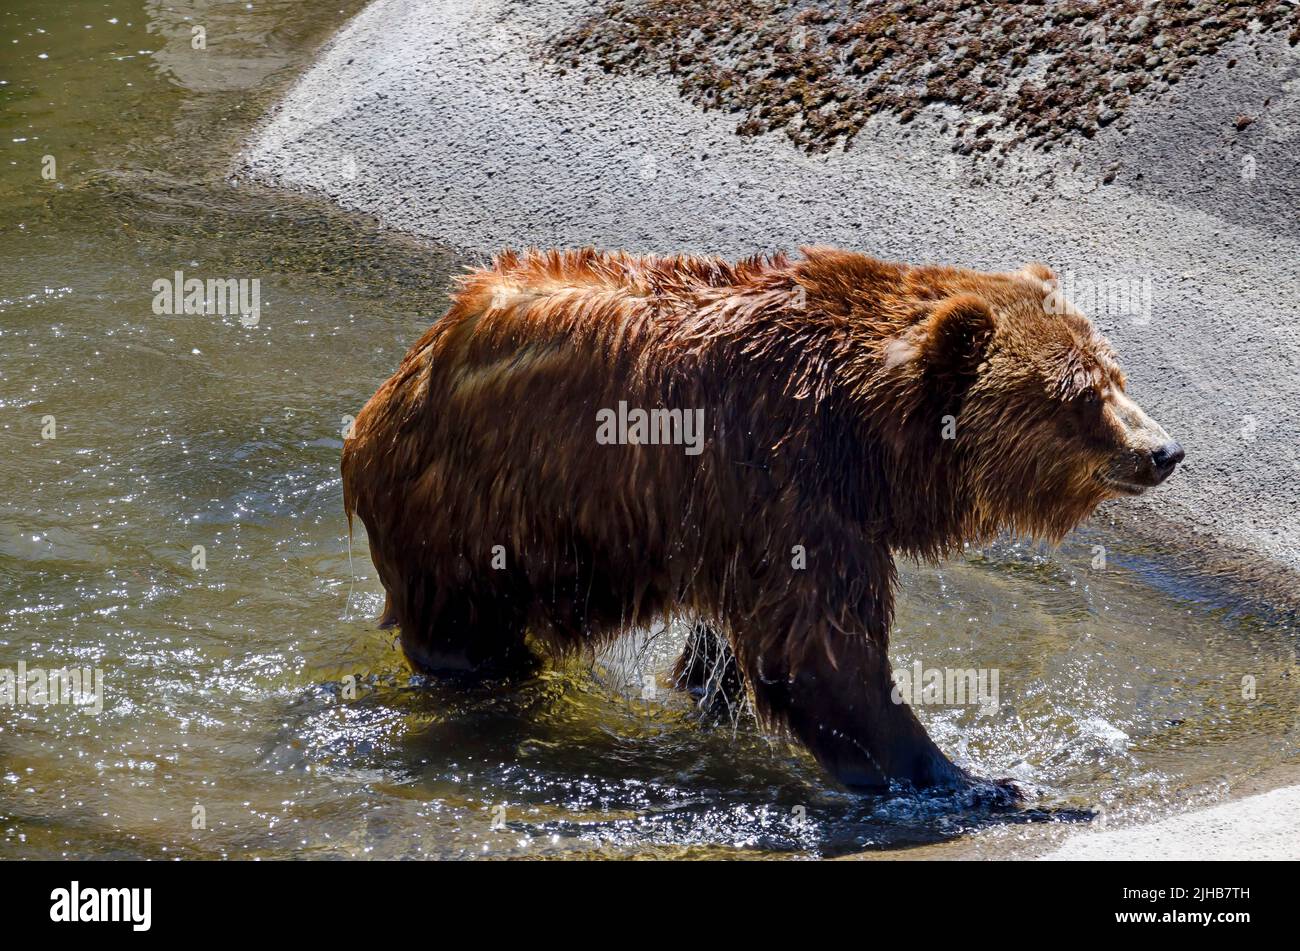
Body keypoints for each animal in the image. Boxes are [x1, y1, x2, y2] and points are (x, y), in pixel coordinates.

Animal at [340, 245, 1185, 795]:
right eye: (1081, 395)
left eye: (1115, 374)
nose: (1163, 449)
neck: (869, 435)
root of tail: (392, 386)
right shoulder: (783, 476)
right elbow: (820, 647)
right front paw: (966, 777)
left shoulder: (743, 517)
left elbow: (739, 641)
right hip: (474, 516)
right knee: (471, 636)